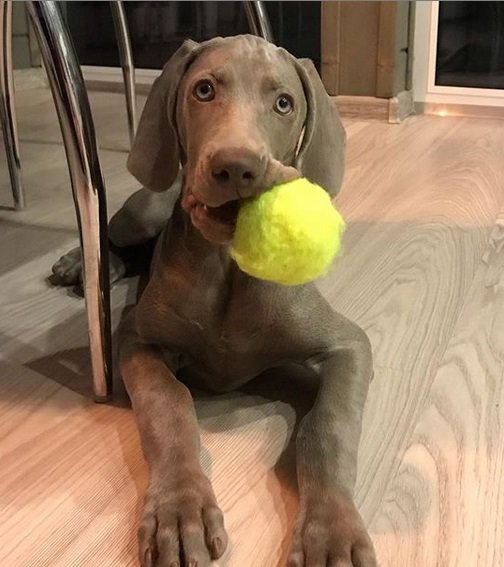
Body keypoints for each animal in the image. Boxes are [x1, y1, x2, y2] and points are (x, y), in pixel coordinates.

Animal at [52, 35, 374, 567]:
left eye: (283, 103)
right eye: (204, 90)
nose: (236, 168)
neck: (226, 268)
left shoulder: (349, 343)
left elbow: (329, 425)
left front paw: (332, 530)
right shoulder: (138, 339)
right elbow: (169, 407)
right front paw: (178, 511)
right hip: (147, 206)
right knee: (115, 235)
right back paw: (85, 263)